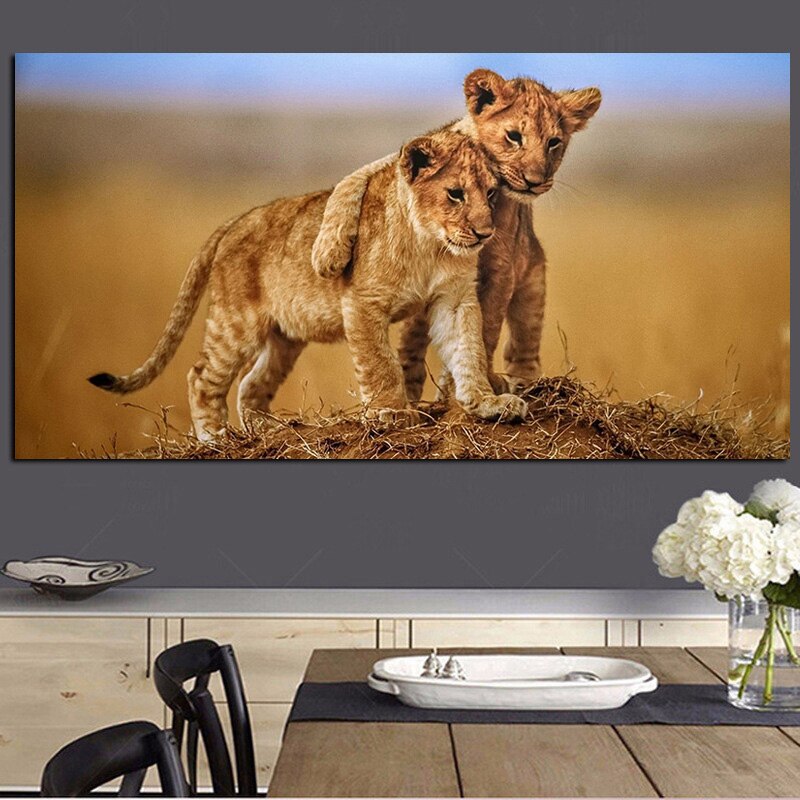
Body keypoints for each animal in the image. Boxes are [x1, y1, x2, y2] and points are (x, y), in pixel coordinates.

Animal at [88, 128, 527, 440]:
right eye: (455, 194)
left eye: (491, 193)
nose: (485, 233)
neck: (430, 245)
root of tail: (235, 221)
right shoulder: (362, 302)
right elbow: (380, 363)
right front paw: (392, 412)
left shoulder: (454, 300)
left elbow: (469, 349)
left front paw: (487, 402)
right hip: (236, 323)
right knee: (202, 377)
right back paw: (215, 439)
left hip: (285, 337)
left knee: (251, 384)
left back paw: (268, 431)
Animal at [311, 69, 601, 399]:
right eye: (514, 136)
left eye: (554, 142)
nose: (535, 181)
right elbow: (351, 181)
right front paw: (328, 254)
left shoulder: (502, 269)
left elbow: (486, 329)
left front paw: (472, 385)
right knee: (412, 340)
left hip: (532, 282)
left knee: (523, 345)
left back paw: (523, 383)